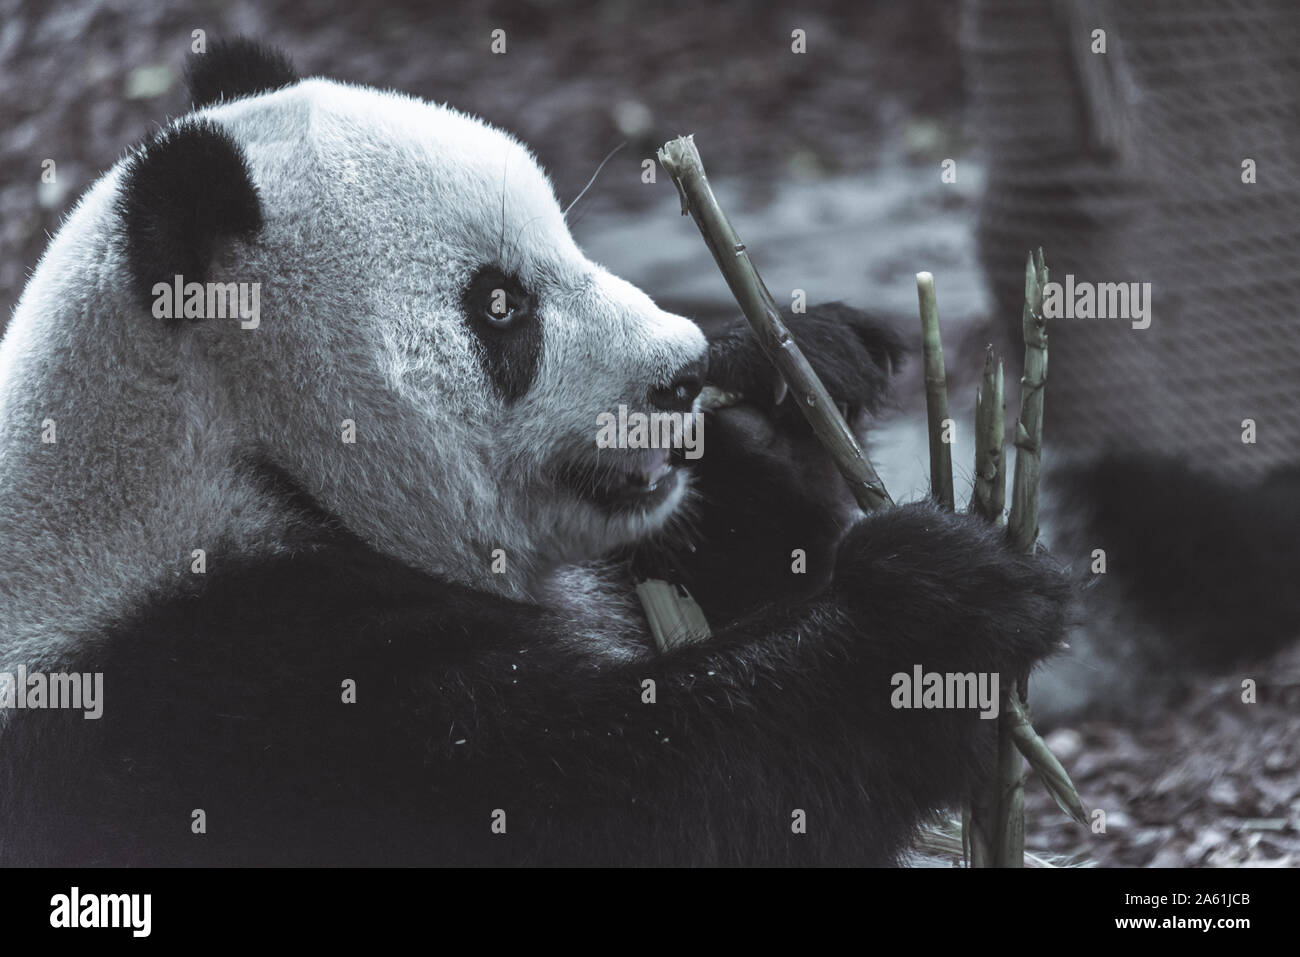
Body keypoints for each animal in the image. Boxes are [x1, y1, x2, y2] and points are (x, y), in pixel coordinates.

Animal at [0, 41, 1066, 868]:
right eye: (501, 304)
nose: (680, 375)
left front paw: (790, 372)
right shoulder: (218, 704)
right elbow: (626, 800)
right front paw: (939, 611)